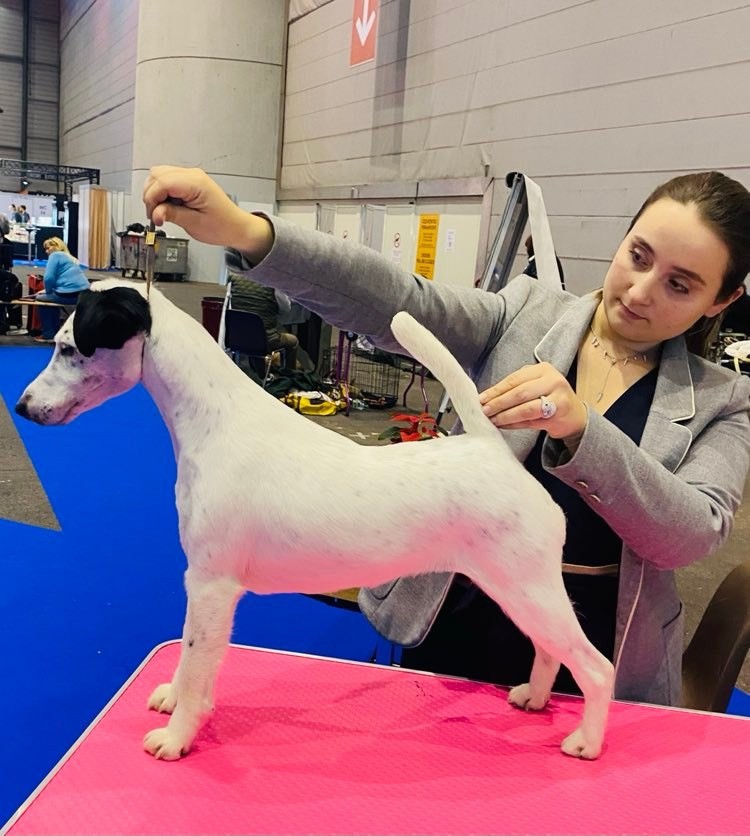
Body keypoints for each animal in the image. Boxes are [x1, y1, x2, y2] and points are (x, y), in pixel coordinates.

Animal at [17, 280, 612, 756]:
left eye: (67, 347)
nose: (21, 407)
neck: (212, 420)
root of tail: (491, 451)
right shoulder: (199, 583)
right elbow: (186, 655)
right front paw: (171, 696)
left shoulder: (210, 586)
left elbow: (198, 661)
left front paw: (178, 736)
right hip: (518, 592)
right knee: (549, 652)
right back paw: (534, 698)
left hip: (527, 589)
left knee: (595, 667)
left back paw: (585, 742)